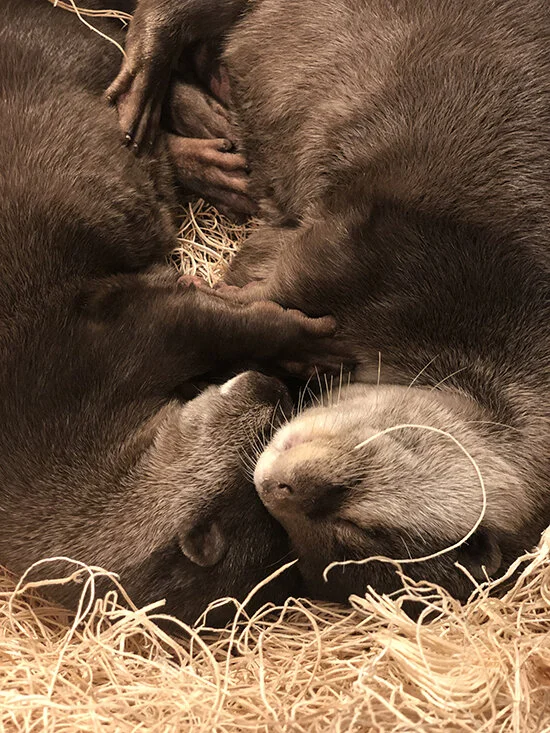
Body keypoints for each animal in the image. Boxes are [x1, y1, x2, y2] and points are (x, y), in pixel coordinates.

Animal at [0, 0, 345, 621]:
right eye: (271, 434)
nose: (271, 389)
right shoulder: (132, 336)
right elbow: (226, 323)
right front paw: (309, 343)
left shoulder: (110, 332)